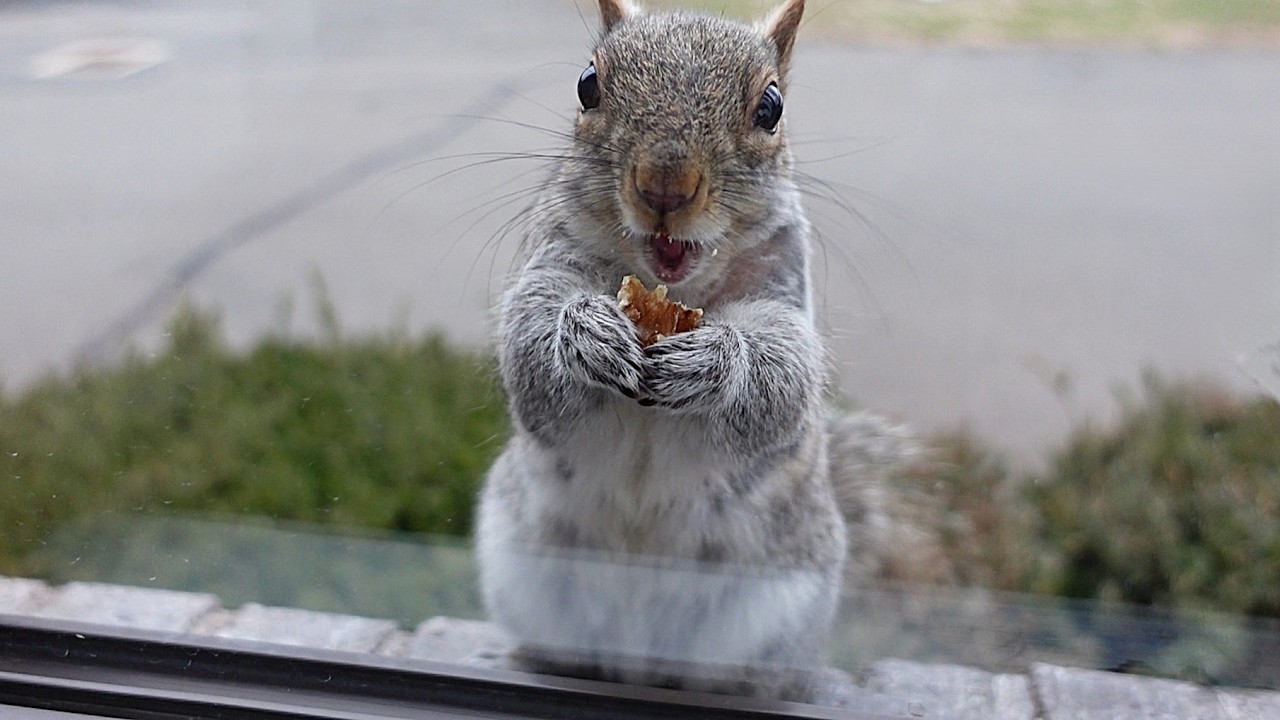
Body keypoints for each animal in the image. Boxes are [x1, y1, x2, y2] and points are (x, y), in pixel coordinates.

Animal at [475, 0, 942, 702]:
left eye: (771, 107)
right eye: (588, 85)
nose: (664, 185)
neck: (673, 290)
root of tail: (638, 662)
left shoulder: (783, 293)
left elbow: (780, 381)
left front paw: (714, 364)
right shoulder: (552, 255)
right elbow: (529, 349)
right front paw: (584, 335)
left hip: (779, 604)